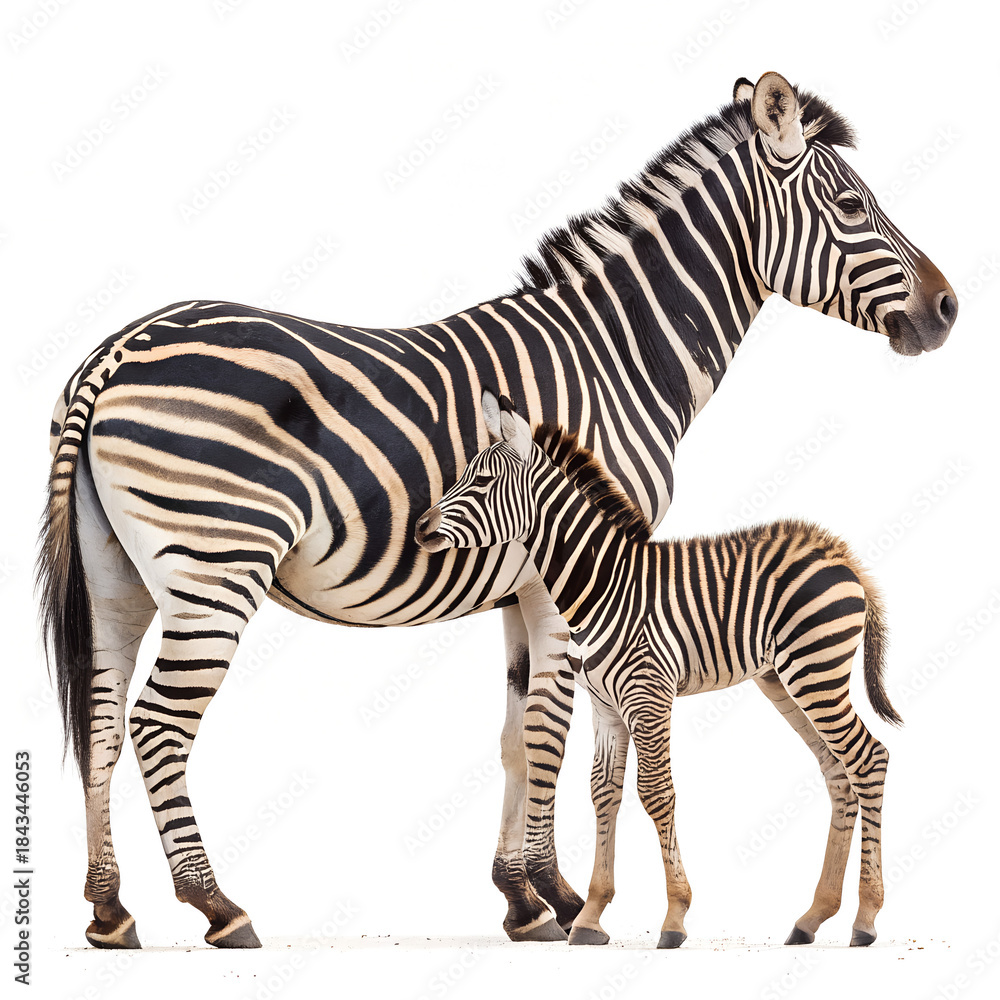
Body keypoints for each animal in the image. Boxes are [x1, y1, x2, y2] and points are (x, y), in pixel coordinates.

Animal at [416, 390, 899, 949]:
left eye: (483, 481)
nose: (420, 530)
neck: (602, 584)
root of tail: (837, 551)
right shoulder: (605, 703)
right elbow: (603, 792)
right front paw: (591, 916)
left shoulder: (647, 694)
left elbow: (656, 793)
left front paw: (674, 916)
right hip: (783, 679)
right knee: (837, 770)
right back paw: (813, 917)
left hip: (815, 670)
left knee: (868, 759)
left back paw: (866, 918)